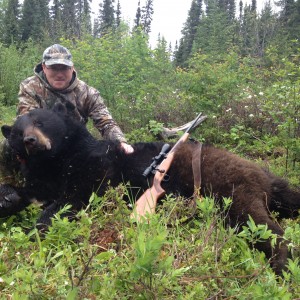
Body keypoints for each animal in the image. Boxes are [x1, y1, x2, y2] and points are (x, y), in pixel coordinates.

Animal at [0, 103, 300, 276]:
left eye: (40, 122)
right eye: (18, 131)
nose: (30, 140)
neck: (55, 161)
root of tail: (263, 174)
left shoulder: (93, 172)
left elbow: (71, 200)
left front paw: (39, 228)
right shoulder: (41, 180)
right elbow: (26, 192)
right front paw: (8, 199)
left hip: (230, 189)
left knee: (262, 226)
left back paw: (281, 265)